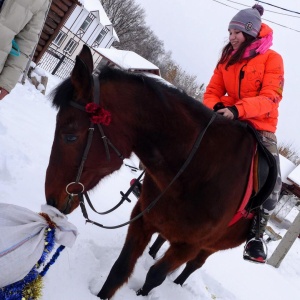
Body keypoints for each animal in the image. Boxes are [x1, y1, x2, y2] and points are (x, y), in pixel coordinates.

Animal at [45, 45, 256, 298]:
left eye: (70, 137)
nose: (52, 200)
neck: (196, 170)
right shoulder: (143, 218)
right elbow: (120, 268)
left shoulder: (190, 246)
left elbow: (156, 276)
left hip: (211, 246)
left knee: (194, 265)